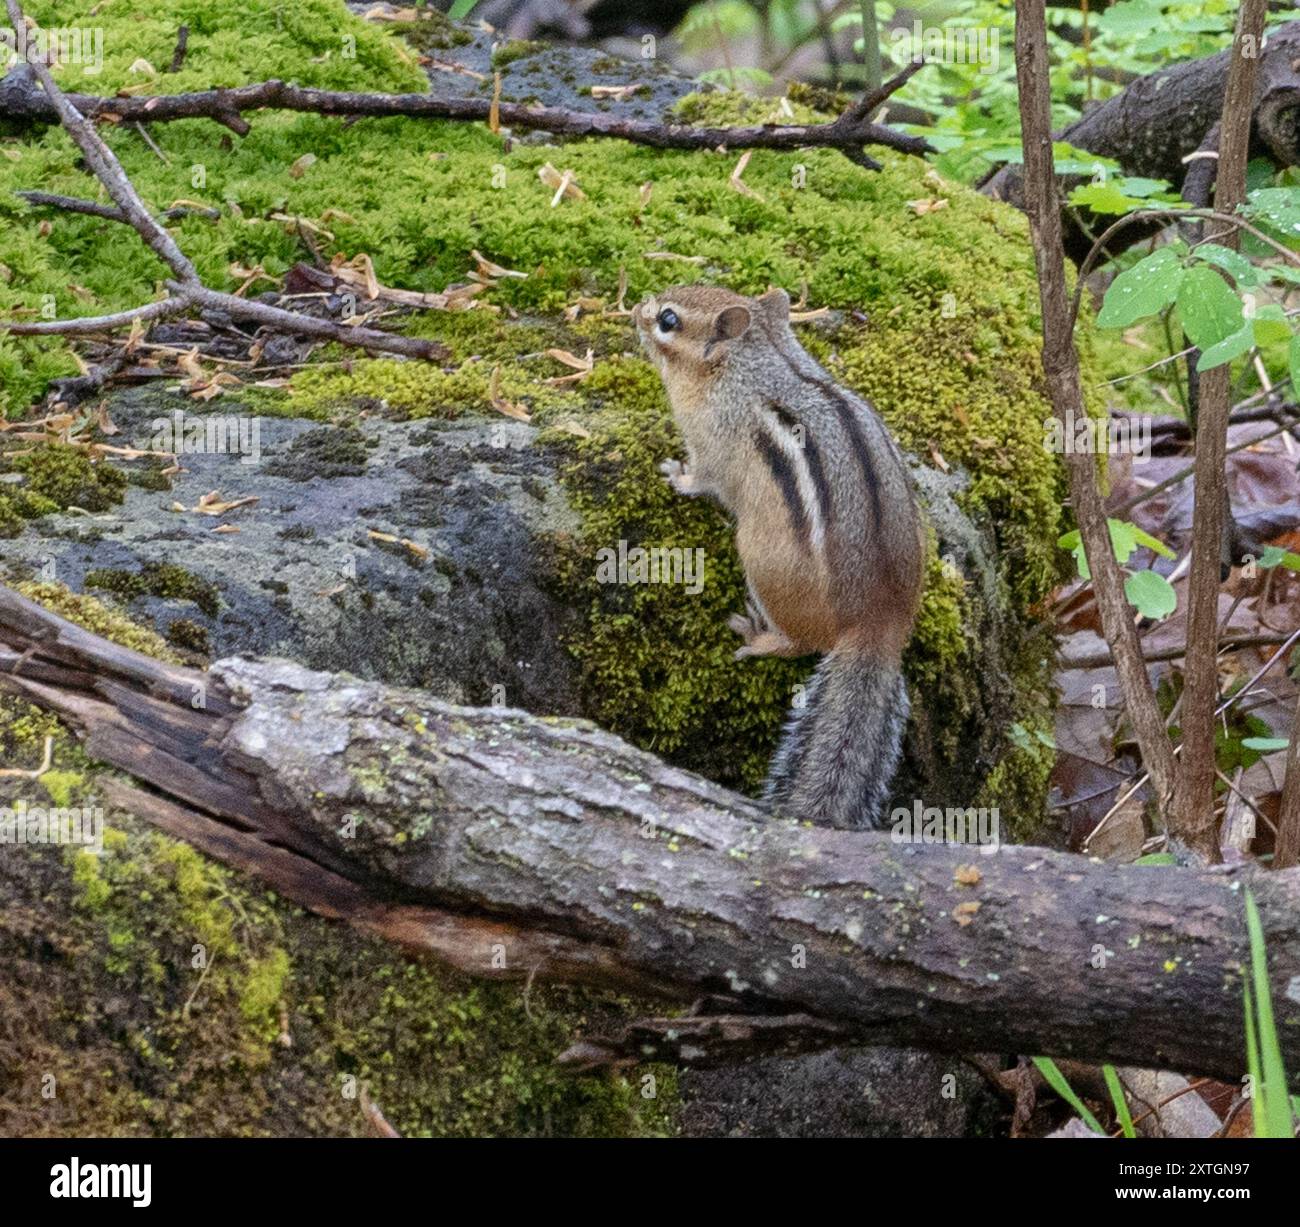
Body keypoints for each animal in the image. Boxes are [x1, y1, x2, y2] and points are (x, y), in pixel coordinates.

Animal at [634, 284, 925, 830]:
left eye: (668, 320)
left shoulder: (711, 444)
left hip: (760, 559)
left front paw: (677, 475)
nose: (635, 311)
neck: (753, 363)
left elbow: (703, 477)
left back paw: (758, 637)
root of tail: (881, 621)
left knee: (799, 643)